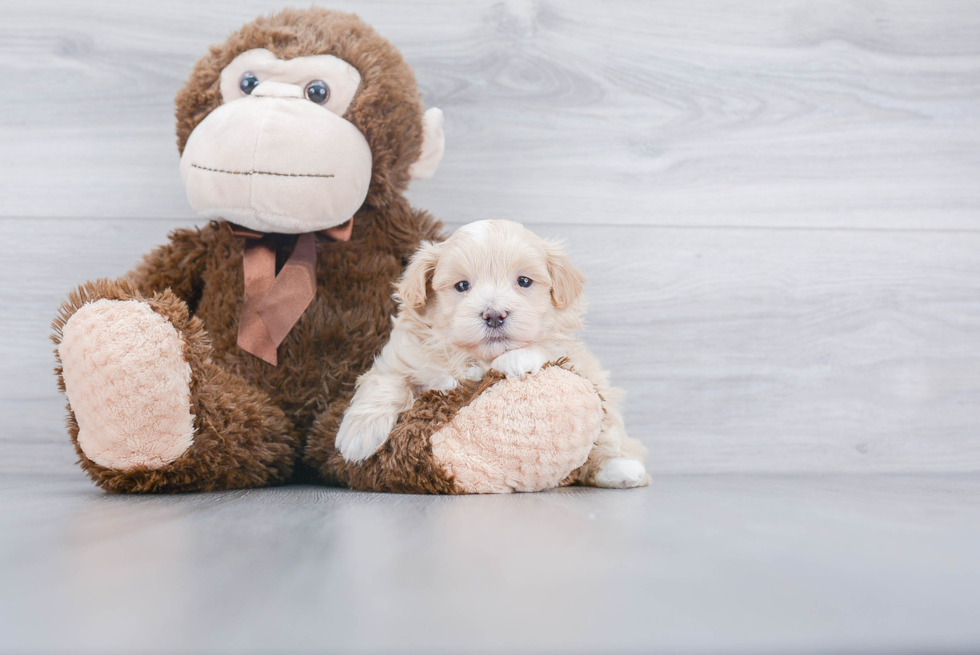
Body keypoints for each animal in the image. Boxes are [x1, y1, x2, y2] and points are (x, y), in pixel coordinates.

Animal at [336, 219, 652, 486]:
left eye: (524, 281)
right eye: (462, 285)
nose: (494, 315)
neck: (475, 357)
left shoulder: (569, 352)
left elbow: (545, 346)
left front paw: (515, 359)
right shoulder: (401, 357)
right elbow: (386, 382)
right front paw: (358, 435)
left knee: (605, 444)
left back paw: (621, 469)